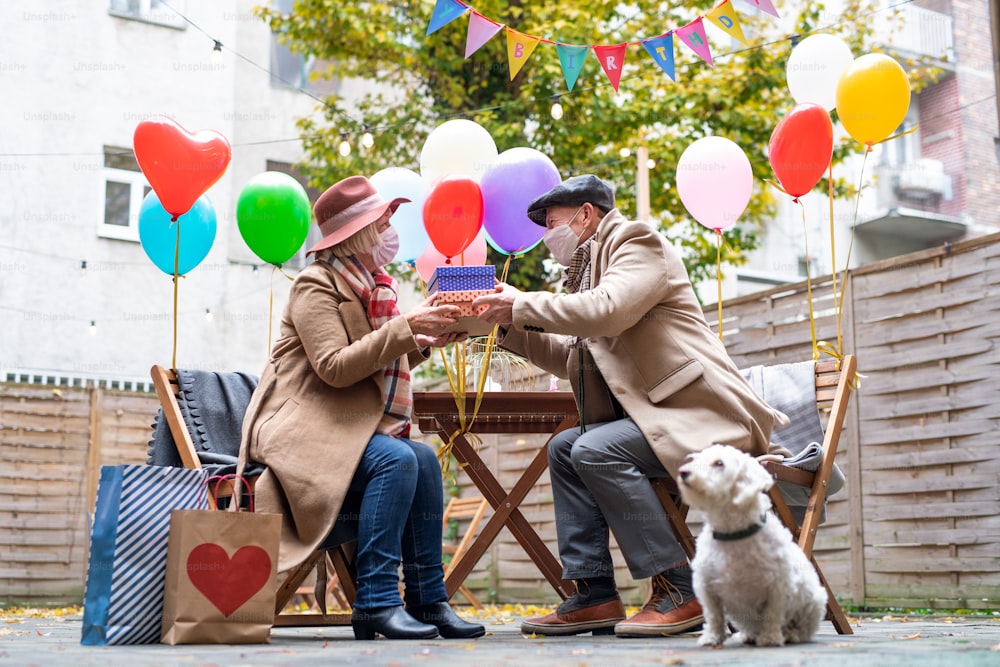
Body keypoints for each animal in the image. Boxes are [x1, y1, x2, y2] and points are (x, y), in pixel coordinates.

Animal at [680, 444, 828, 648]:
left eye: (719, 463)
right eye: (695, 459)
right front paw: (712, 637)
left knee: (802, 629)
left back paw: (790, 634)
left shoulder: (778, 586)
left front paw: (770, 638)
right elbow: (714, 615)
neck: (733, 535)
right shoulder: (707, 586)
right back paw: (748, 635)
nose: (683, 472)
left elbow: (772, 614)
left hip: (814, 602)